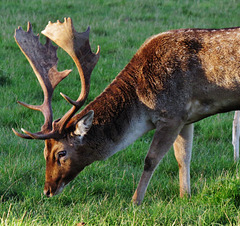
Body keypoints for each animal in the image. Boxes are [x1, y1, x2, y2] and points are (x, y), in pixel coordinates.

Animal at [12, 17, 240, 205]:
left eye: (61, 153)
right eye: (44, 152)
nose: (47, 190)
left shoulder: (172, 114)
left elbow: (151, 159)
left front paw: (135, 201)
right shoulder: (186, 118)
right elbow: (183, 158)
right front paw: (185, 196)